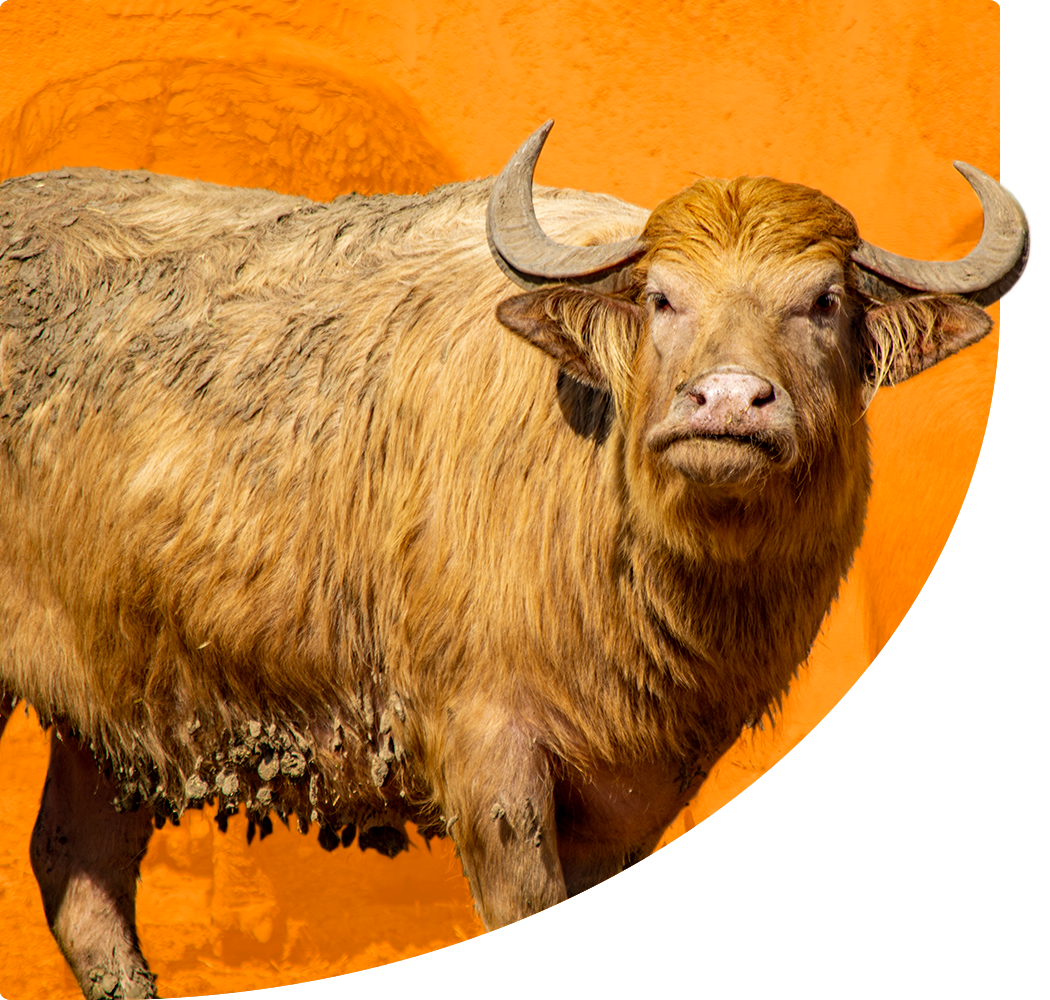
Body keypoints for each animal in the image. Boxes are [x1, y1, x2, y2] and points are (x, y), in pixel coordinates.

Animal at [0, 123, 1027, 1000]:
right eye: (662, 297)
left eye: (823, 301)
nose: (730, 400)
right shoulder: (486, 749)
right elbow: (538, 955)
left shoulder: (634, 791)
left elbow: (579, 952)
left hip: (116, 707)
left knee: (76, 867)